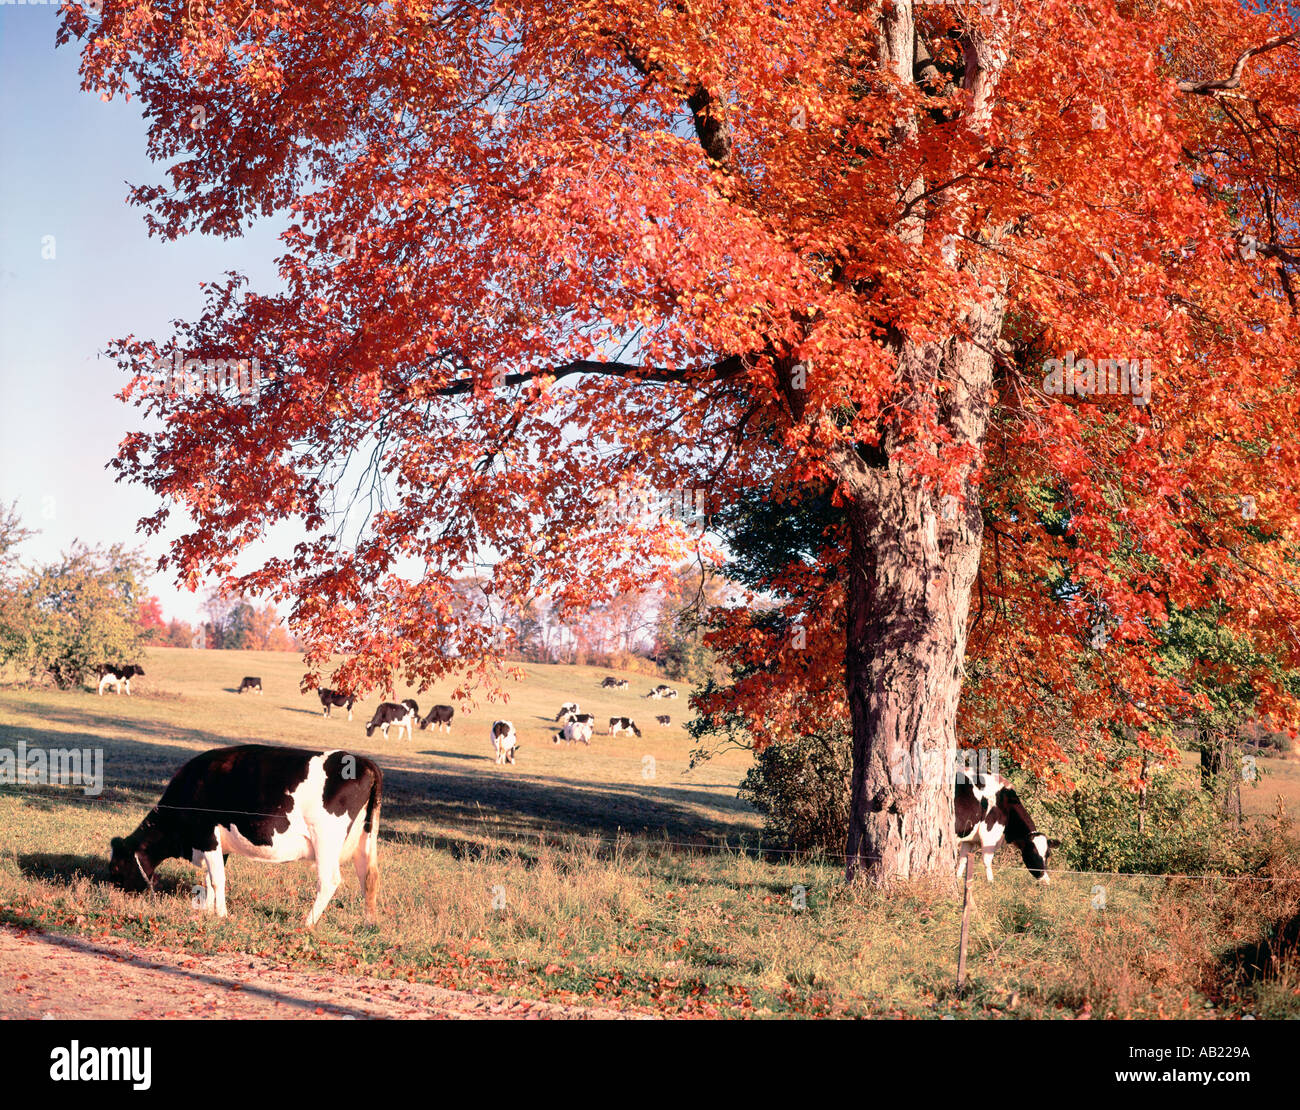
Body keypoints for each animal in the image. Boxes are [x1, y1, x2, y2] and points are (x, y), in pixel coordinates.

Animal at [108, 744, 381, 928]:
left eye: (116, 868)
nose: (111, 894)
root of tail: (364, 762)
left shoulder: (206, 835)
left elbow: (217, 879)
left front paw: (221, 914)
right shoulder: (217, 844)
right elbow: (209, 877)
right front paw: (207, 909)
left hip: (325, 839)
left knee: (330, 880)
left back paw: (307, 922)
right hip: (363, 840)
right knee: (368, 877)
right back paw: (368, 924)